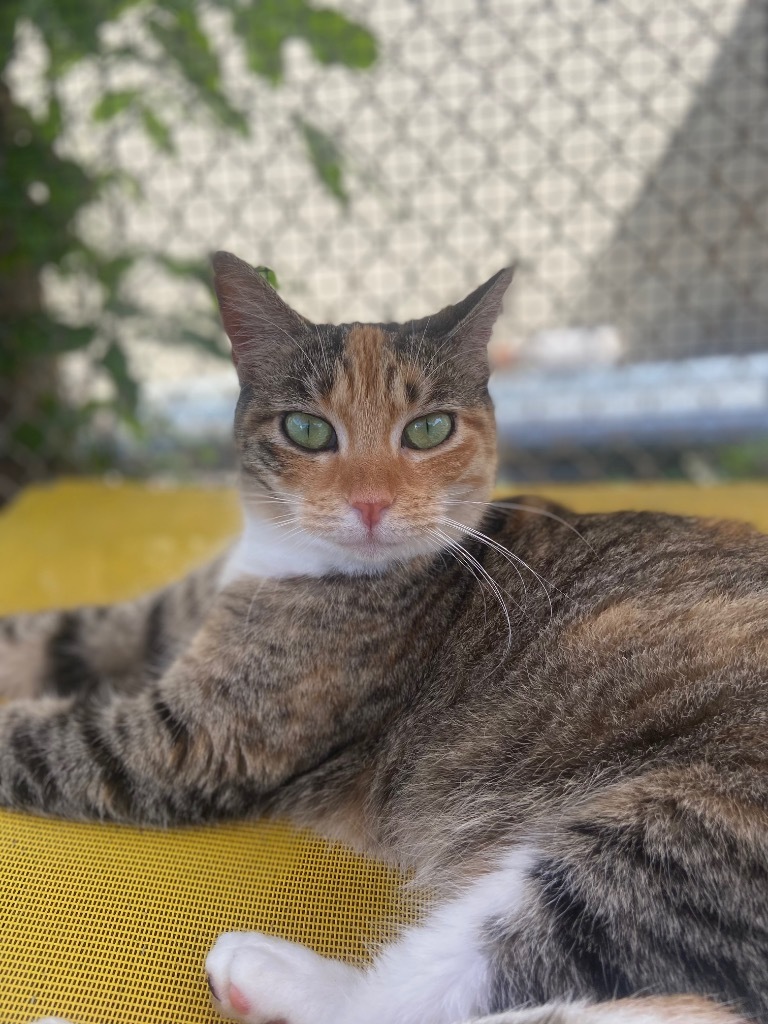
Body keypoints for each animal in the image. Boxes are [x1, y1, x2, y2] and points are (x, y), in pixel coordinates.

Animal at [1, 249, 768, 1024]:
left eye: (428, 429)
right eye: (307, 429)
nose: (370, 503)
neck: (283, 558)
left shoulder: (200, 739)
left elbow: (43, 738)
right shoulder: (160, 619)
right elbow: (49, 636)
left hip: (672, 840)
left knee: (425, 997)